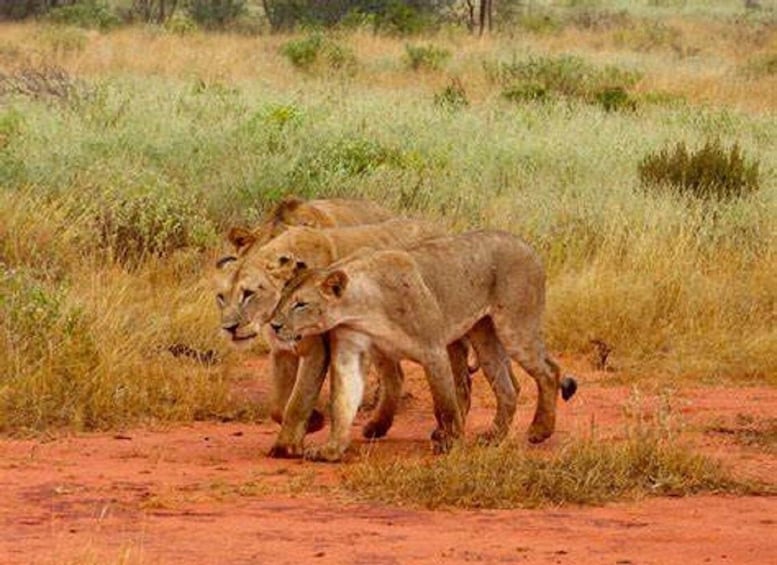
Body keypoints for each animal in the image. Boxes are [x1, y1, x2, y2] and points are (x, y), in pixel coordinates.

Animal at [216, 217, 475, 457]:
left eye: (248, 294)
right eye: (220, 297)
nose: (229, 327)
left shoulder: (318, 350)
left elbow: (298, 400)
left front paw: (288, 445)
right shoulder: (282, 351)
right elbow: (278, 405)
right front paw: (312, 423)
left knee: (457, 377)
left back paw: (446, 429)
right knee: (396, 377)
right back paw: (377, 427)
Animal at [269, 230, 578, 461]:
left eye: (301, 304)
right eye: (281, 299)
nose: (274, 325)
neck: (363, 308)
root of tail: (528, 246)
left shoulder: (433, 348)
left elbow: (444, 402)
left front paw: (450, 442)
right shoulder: (350, 350)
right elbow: (343, 400)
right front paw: (331, 449)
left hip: (515, 327)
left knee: (549, 371)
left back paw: (539, 431)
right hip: (484, 335)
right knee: (508, 386)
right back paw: (493, 437)